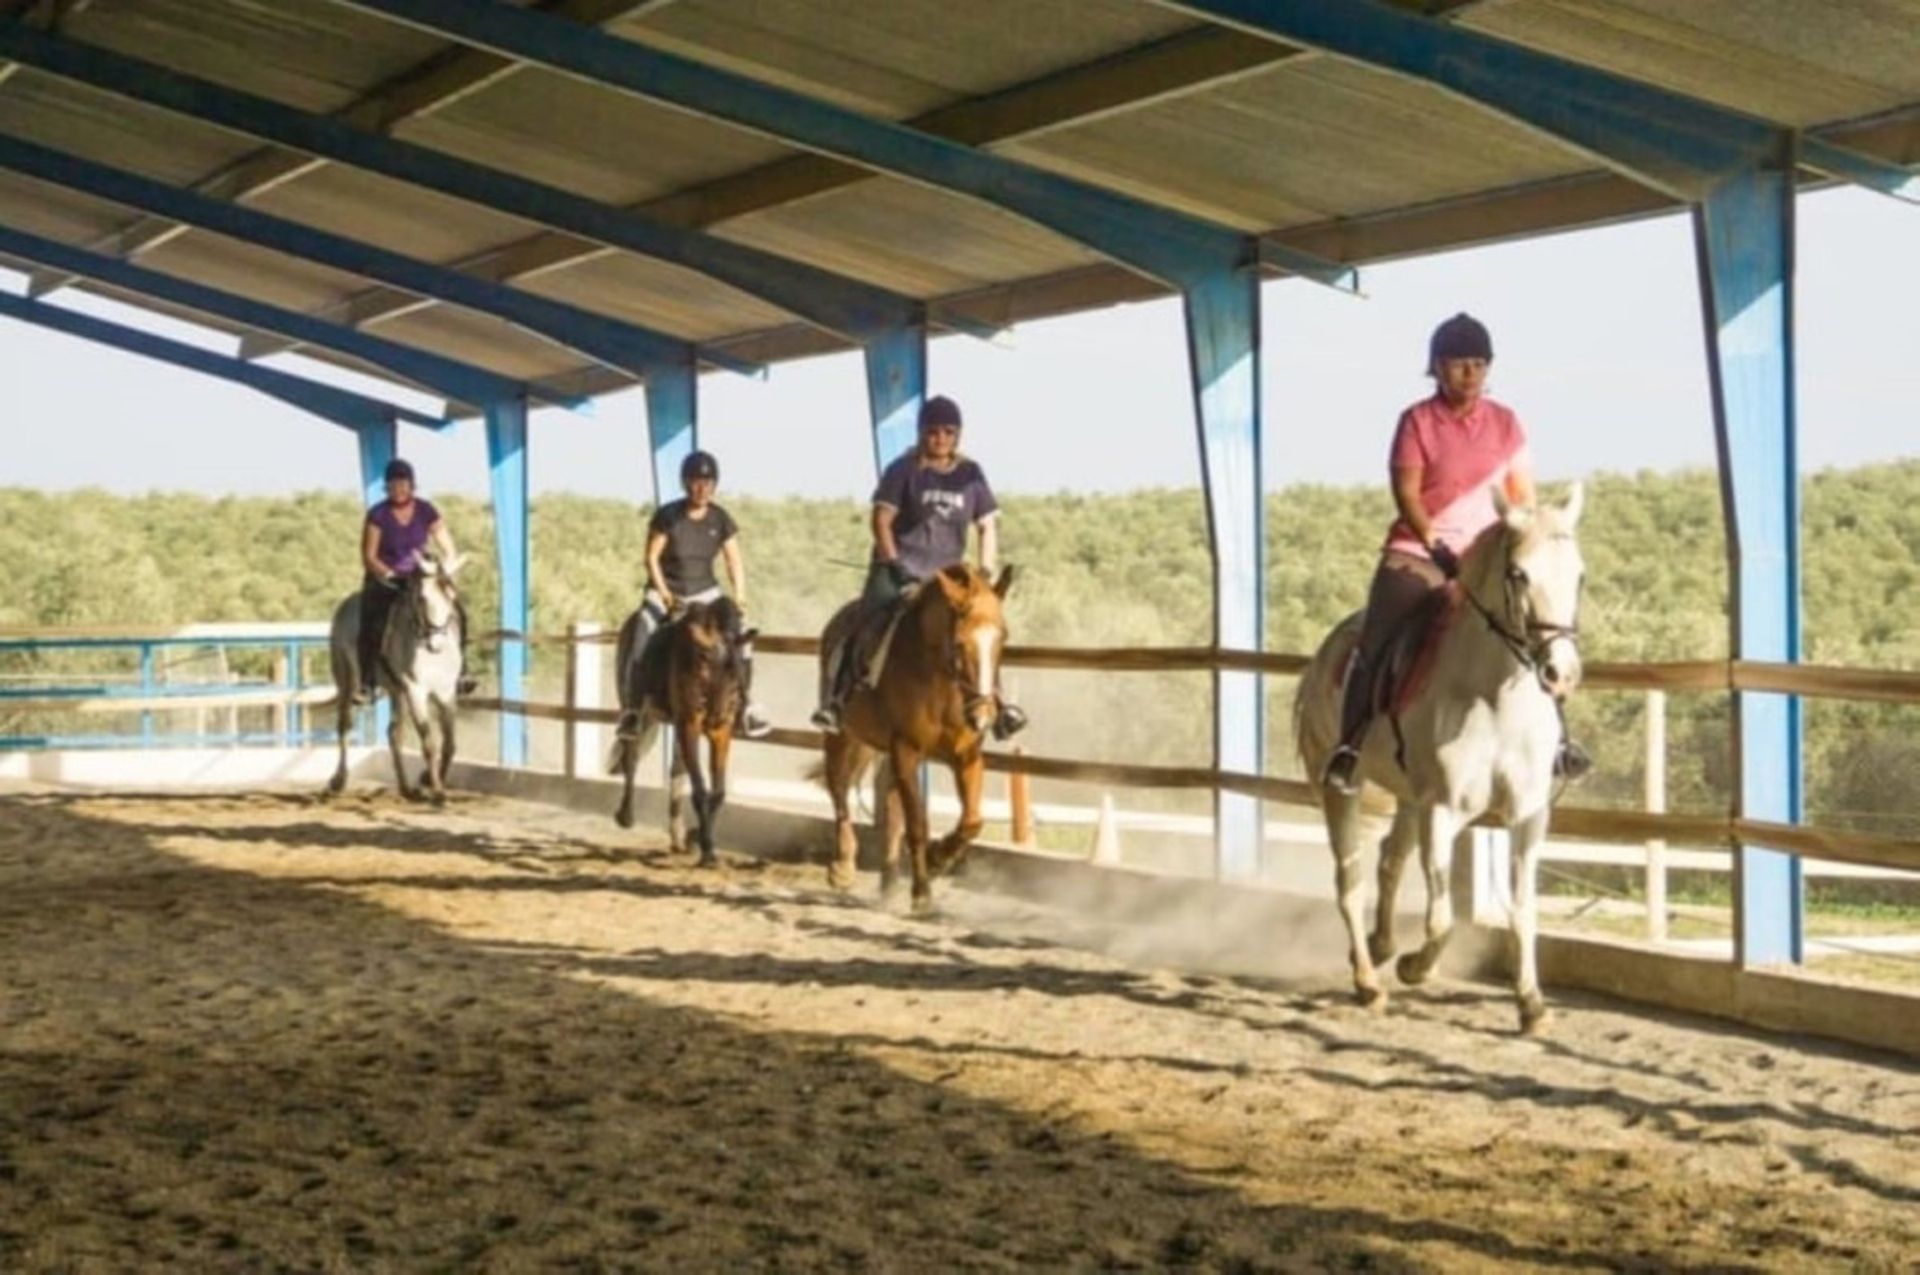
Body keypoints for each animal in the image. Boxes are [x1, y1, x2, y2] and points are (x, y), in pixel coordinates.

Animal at [328, 553, 466, 802]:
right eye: (422, 599)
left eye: (451, 596)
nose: (436, 644)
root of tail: (346, 603)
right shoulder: (416, 690)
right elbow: (429, 742)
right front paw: (437, 791)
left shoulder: (446, 692)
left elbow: (450, 744)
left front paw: (426, 779)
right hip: (346, 680)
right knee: (344, 725)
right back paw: (338, 780)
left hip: (395, 690)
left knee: (393, 733)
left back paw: (406, 788)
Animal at [610, 599, 752, 867]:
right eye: (704, 659)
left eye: (738, 668)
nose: (716, 714)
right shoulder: (689, 726)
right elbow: (701, 790)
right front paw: (706, 849)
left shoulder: (721, 733)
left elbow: (718, 792)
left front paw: (697, 837)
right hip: (637, 709)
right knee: (631, 756)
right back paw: (626, 815)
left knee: (675, 768)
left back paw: (677, 834)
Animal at [814, 564, 1013, 910]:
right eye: (959, 643)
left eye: (1002, 638)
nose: (983, 716)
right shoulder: (907, 751)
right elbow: (917, 824)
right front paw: (922, 893)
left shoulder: (966, 755)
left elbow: (972, 821)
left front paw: (937, 859)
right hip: (842, 738)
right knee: (839, 791)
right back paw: (844, 868)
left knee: (889, 808)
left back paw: (889, 883)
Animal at [1290, 487, 1589, 1036]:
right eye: (1519, 573)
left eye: (1578, 575)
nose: (1562, 674)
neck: (1494, 695)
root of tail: (1325, 652)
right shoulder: (1443, 809)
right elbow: (1442, 918)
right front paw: (1415, 967)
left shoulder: (1528, 814)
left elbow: (1523, 909)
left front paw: (1532, 1005)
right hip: (1344, 790)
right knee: (1349, 881)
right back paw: (1369, 980)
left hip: (1409, 797)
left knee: (1388, 863)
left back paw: (1381, 946)